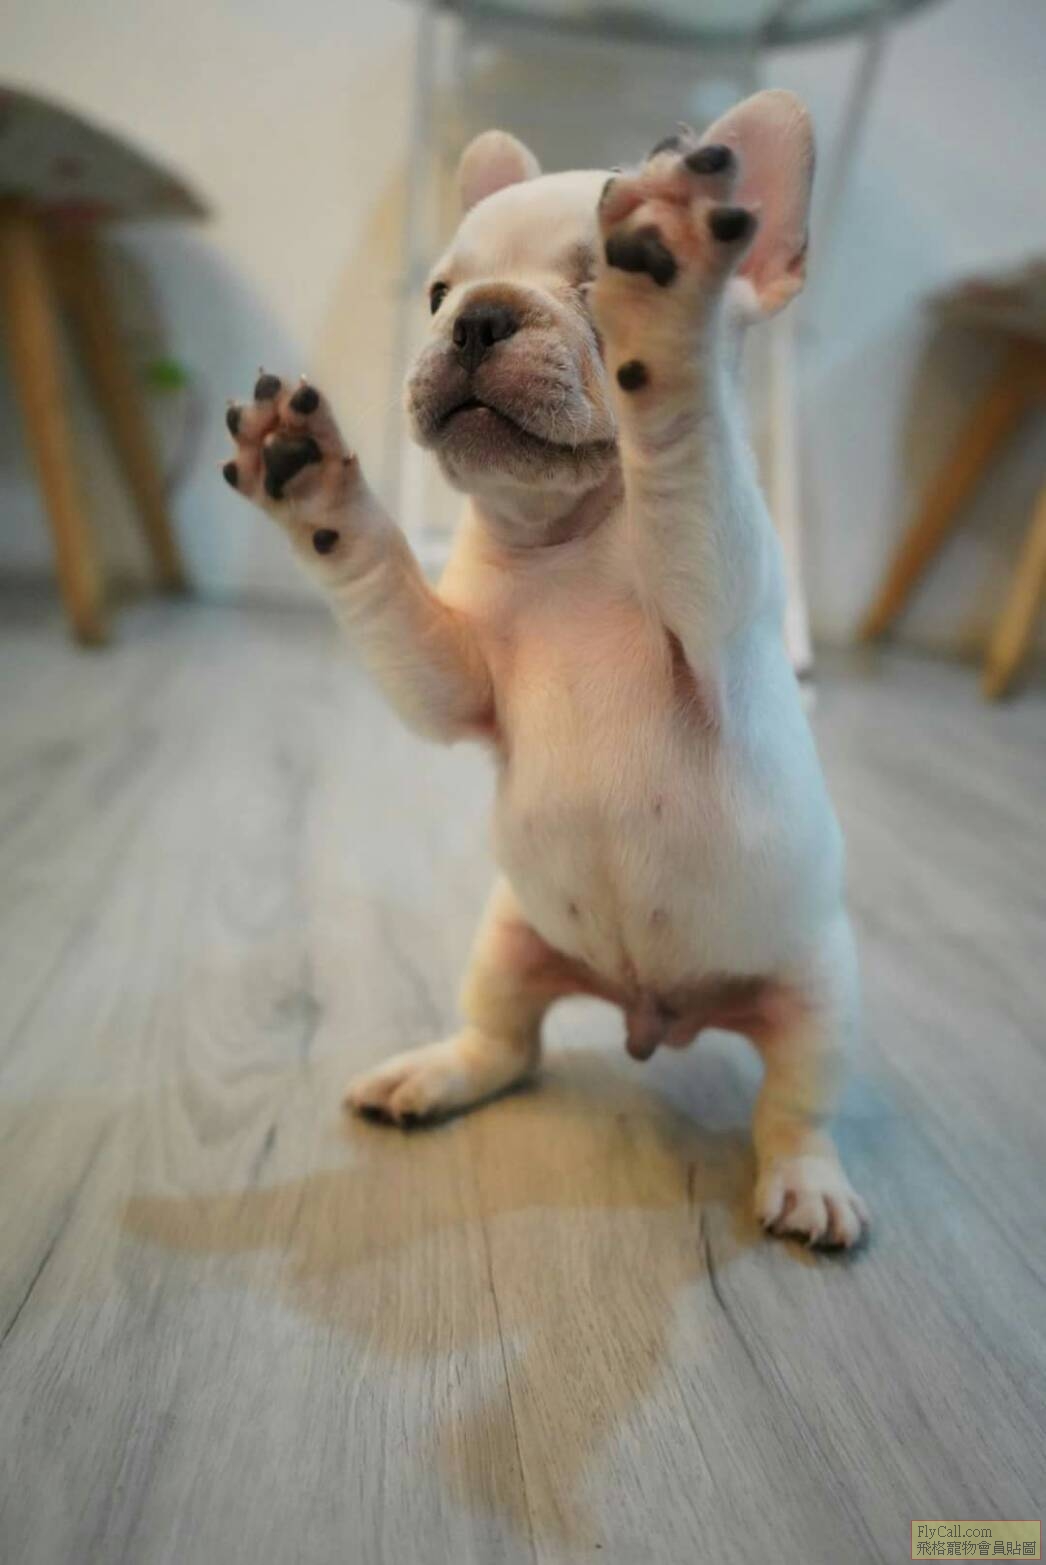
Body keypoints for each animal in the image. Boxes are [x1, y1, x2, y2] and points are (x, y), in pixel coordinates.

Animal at [222, 90, 869, 1248]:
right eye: (439, 291)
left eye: (592, 287)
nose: (478, 317)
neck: (568, 533)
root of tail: (658, 1013)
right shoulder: (456, 683)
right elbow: (387, 591)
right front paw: (315, 491)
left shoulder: (713, 587)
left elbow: (684, 454)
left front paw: (668, 303)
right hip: (506, 940)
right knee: (506, 1045)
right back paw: (434, 1073)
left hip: (822, 996)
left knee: (792, 1106)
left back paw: (807, 1181)